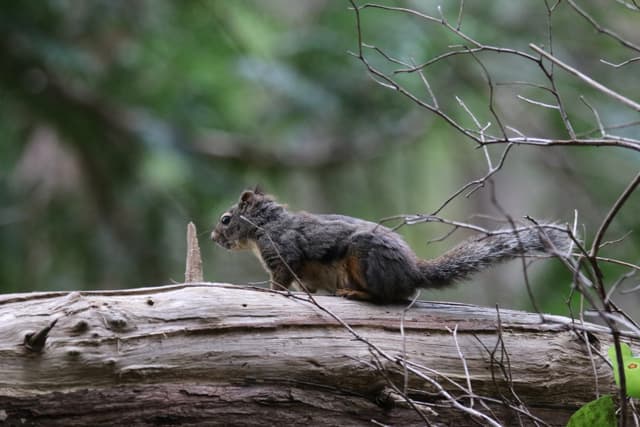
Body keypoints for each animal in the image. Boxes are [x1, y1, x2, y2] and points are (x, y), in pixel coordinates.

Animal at [211, 188, 568, 303]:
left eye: (226, 219)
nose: (213, 238)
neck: (265, 226)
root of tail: (412, 272)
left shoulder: (283, 252)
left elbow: (281, 280)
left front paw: (271, 291)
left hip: (362, 261)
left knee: (390, 296)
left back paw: (356, 293)